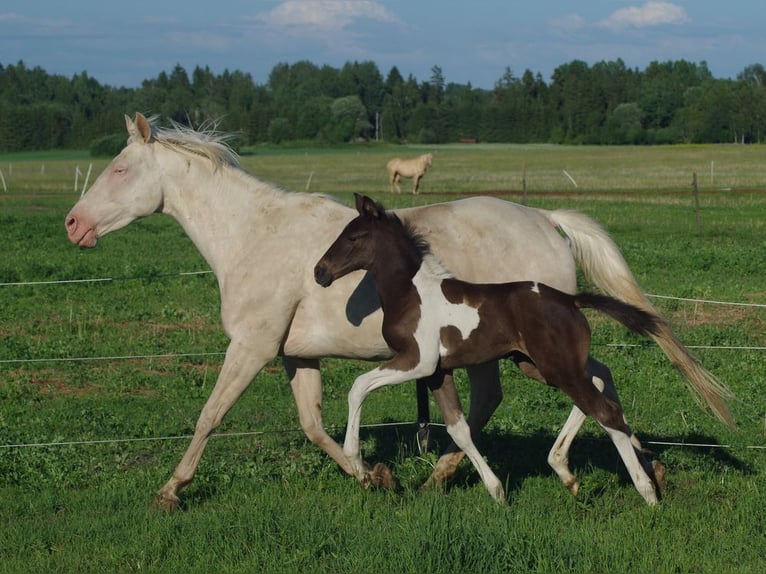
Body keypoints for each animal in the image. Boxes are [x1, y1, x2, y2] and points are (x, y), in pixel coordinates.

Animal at [316, 196, 664, 506]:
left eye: (354, 237)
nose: (320, 272)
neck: (412, 293)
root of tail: (570, 300)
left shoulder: (417, 361)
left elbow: (358, 387)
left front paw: (359, 466)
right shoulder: (438, 371)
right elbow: (459, 430)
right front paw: (496, 491)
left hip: (558, 367)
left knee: (605, 411)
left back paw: (647, 492)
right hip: (537, 366)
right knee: (600, 388)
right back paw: (569, 474)